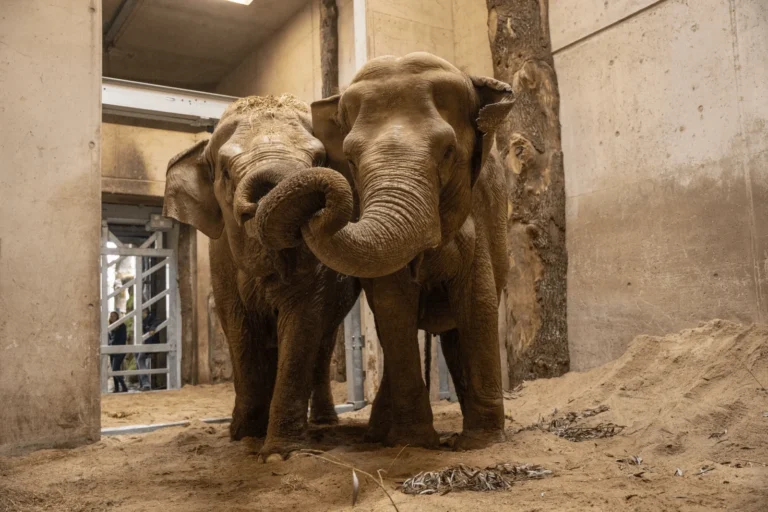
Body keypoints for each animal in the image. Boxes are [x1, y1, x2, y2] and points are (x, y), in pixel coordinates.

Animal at [162, 95, 360, 460]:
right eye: (225, 171)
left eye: (319, 158)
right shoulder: (220, 259)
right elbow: (238, 327)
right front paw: (244, 435)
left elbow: (302, 322)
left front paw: (280, 453)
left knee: (323, 343)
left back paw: (324, 422)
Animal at [256, 54, 516, 450]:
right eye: (350, 158)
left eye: (448, 152)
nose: (317, 206)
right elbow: (393, 303)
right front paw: (414, 442)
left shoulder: (482, 206)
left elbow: (477, 300)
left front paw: (480, 444)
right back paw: (379, 435)